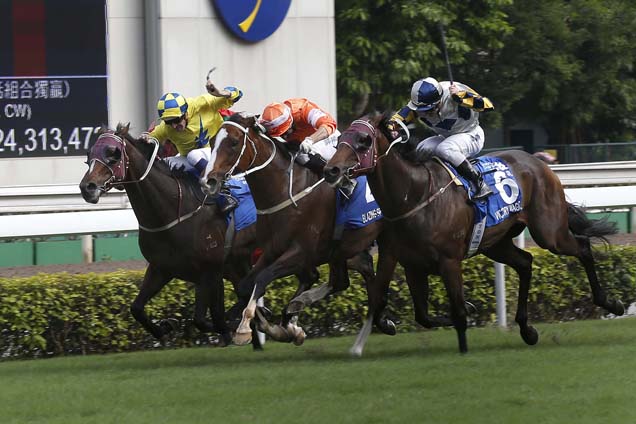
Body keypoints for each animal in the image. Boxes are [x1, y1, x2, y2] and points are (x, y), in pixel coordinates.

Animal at [204, 113, 396, 348]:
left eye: (233, 142)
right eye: (212, 142)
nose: (209, 180)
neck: (287, 191)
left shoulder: (302, 253)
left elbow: (263, 278)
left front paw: (247, 329)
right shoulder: (272, 250)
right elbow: (246, 284)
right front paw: (282, 327)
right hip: (342, 249)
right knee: (349, 277)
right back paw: (381, 320)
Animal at [326, 112, 624, 354]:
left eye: (364, 140)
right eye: (342, 138)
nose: (332, 169)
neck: (413, 196)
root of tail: (537, 161)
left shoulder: (449, 261)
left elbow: (457, 310)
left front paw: (464, 348)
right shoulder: (403, 260)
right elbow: (405, 309)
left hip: (549, 232)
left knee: (582, 247)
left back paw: (611, 303)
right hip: (496, 243)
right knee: (526, 263)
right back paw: (527, 329)